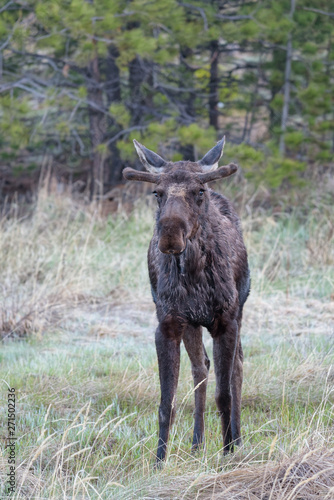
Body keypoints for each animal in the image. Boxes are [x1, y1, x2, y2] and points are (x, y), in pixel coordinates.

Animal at [124, 138, 249, 464]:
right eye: (157, 193)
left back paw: (238, 440)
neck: (193, 277)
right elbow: (165, 402)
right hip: (192, 324)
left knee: (237, 369)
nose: (170, 235)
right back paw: (197, 443)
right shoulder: (169, 324)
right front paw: (159, 461)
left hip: (240, 311)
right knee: (201, 368)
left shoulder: (225, 321)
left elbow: (224, 394)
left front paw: (227, 452)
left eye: (199, 192)